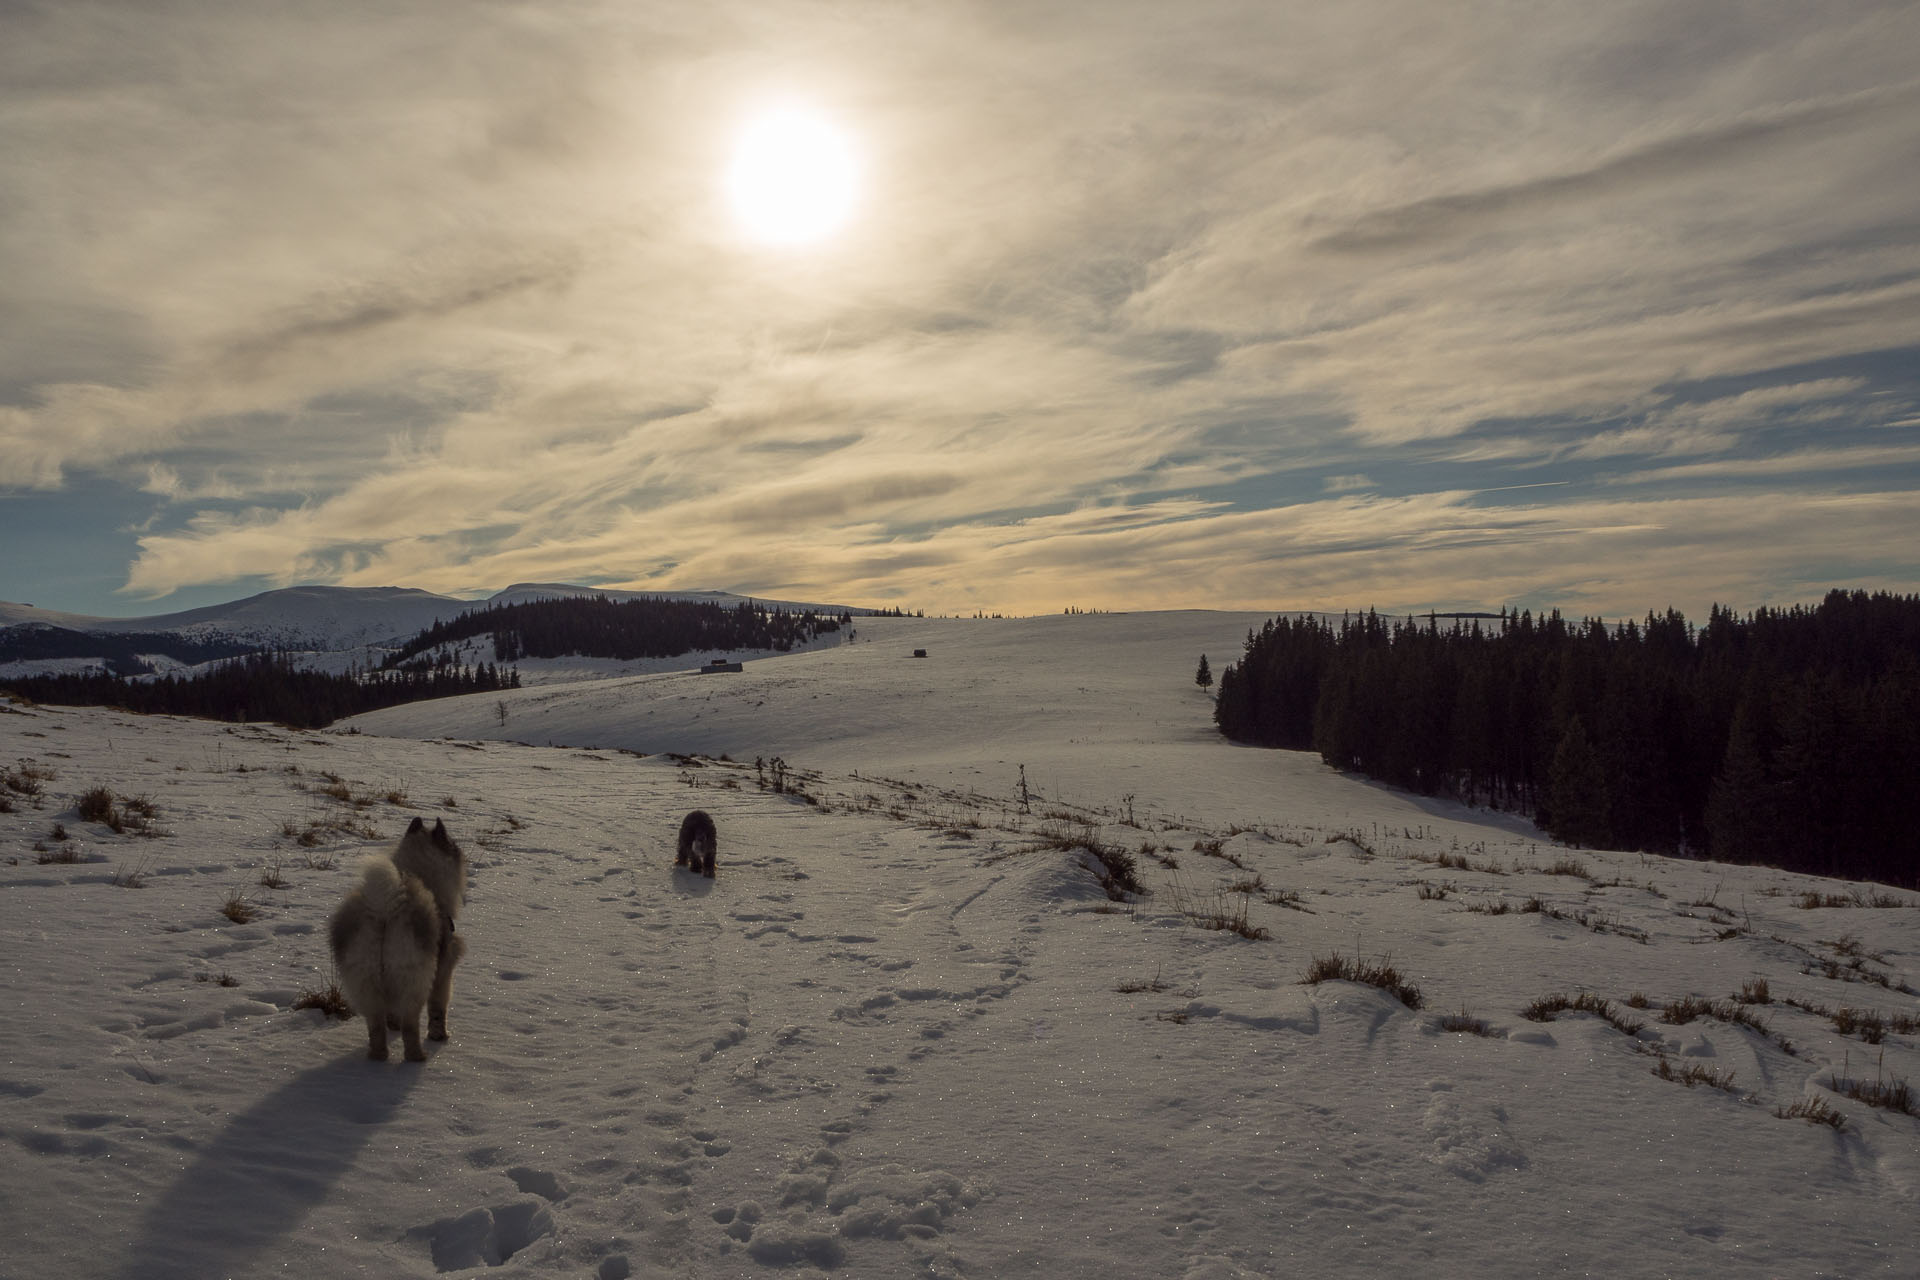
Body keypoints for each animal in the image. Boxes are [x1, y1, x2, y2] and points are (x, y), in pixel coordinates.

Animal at [328, 821, 466, 1059]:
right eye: (453, 844)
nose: (460, 851)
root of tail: (384, 907)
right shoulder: (443, 971)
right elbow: (438, 1009)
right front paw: (439, 1036)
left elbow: (391, 1014)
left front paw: (393, 1025)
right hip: (415, 981)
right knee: (410, 1025)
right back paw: (417, 1057)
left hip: (366, 982)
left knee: (375, 1026)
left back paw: (378, 1056)